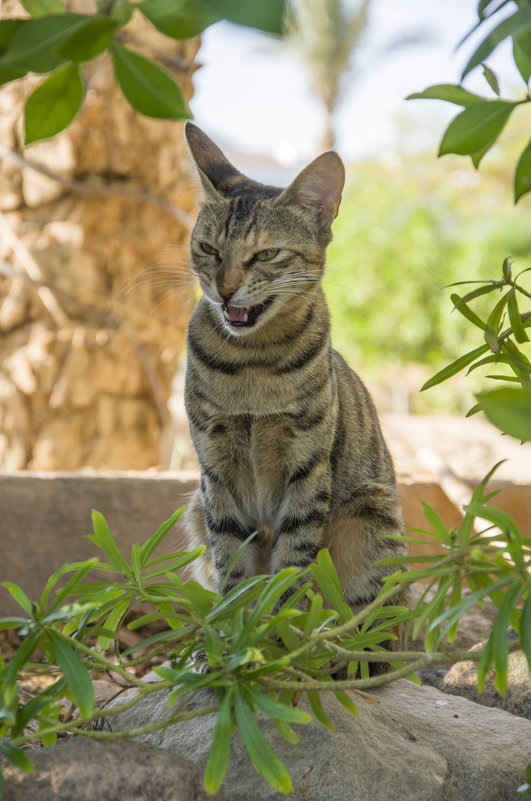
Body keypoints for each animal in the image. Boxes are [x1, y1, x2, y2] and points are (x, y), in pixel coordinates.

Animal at [182, 120, 408, 648]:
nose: (225, 289)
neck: (250, 364)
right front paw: (236, 639)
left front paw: (278, 635)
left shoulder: (307, 465)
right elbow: (231, 563)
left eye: (266, 254)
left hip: (370, 517)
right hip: (193, 507)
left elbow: (291, 566)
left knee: (376, 633)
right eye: (208, 249)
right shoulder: (215, 469)